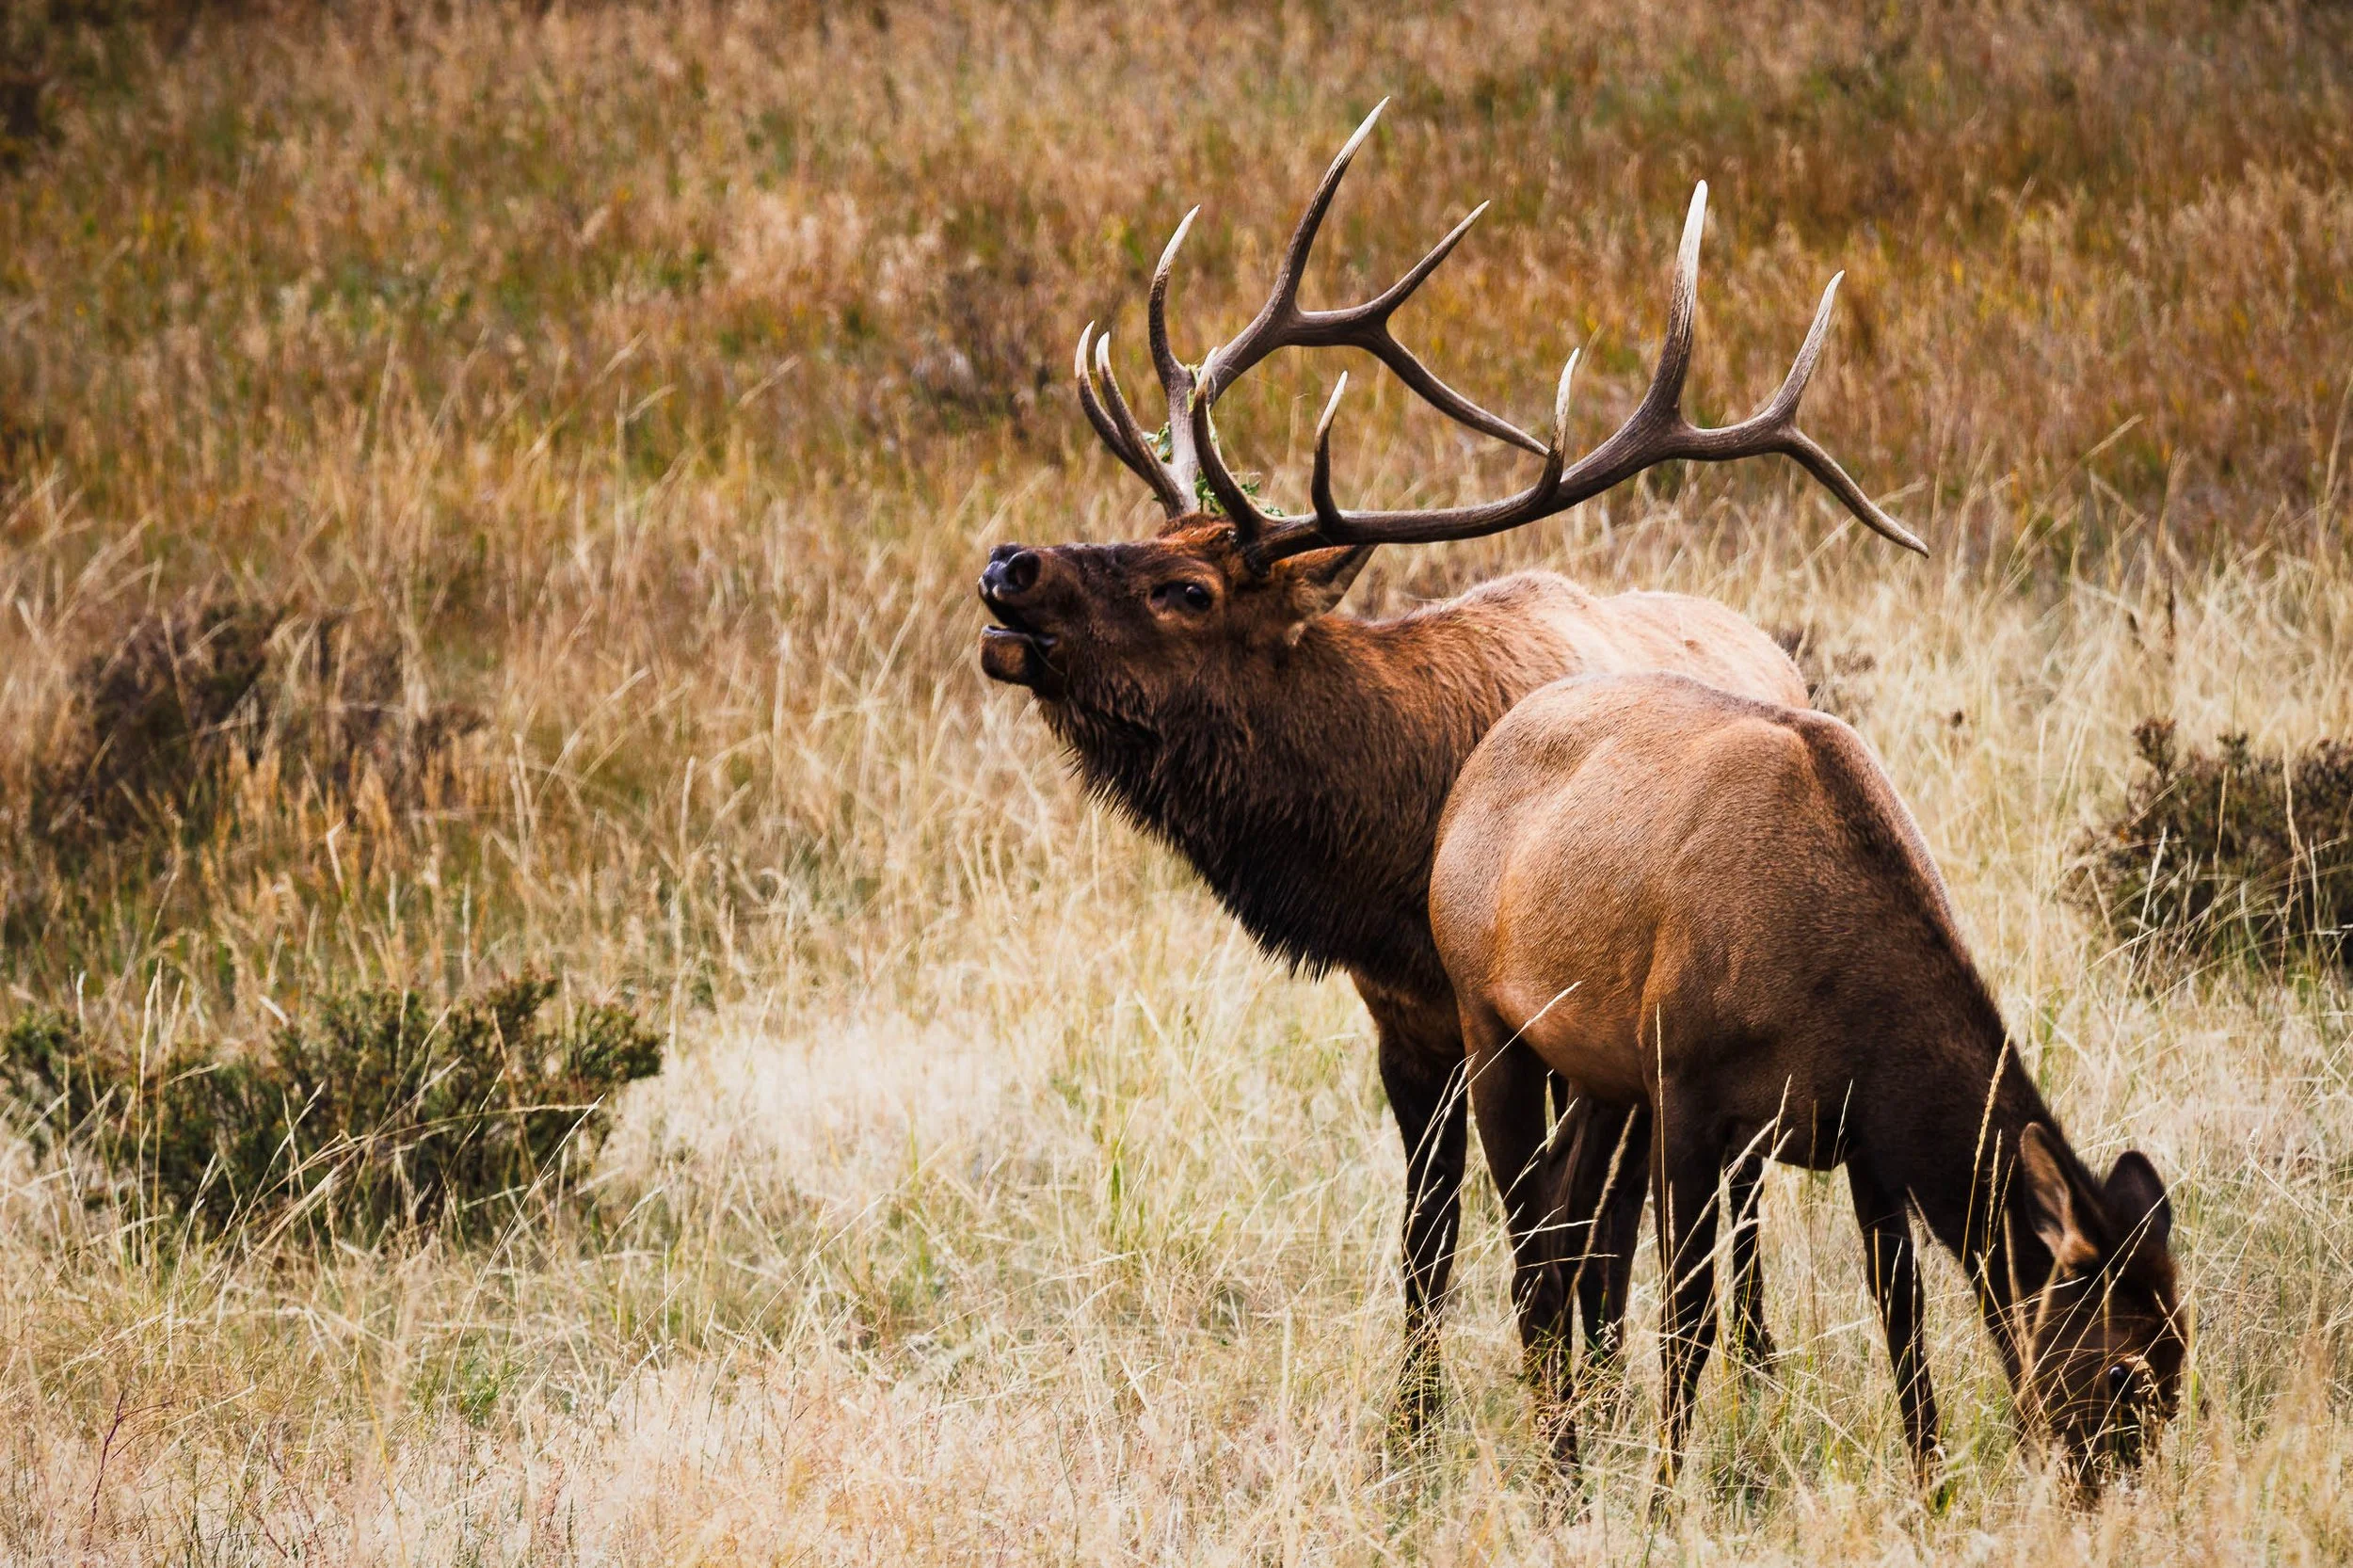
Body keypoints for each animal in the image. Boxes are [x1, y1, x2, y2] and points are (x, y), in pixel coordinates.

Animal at [976, 103, 1923, 1451]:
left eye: (1186, 589)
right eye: (1150, 534)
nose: (1009, 565)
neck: (1394, 858)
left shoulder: (1550, 1031)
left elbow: (1568, 1250)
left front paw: (1576, 1417)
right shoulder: (1401, 1020)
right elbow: (1425, 1244)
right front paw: (1409, 1437)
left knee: (1698, 1213)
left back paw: (1743, 1366)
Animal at [1431, 672, 2185, 1487]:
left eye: (2182, 1358)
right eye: (2121, 1370)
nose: (2110, 1488)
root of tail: (1464, 785)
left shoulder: (1864, 1135)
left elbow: (1902, 1310)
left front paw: (1931, 1487)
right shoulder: (1684, 1089)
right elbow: (1690, 1320)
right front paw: (1663, 1495)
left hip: (1601, 1079)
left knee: (1561, 1238)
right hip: (1488, 1025)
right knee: (1532, 1269)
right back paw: (1562, 1479)